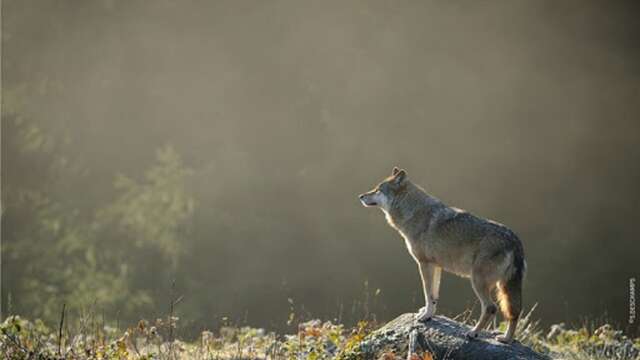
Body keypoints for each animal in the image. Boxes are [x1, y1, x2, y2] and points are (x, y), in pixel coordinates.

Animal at [358, 167, 528, 342]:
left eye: (378, 190)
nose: (360, 196)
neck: (413, 212)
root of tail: (515, 241)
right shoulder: (436, 266)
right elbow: (434, 296)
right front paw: (429, 314)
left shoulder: (424, 263)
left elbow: (427, 293)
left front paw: (425, 316)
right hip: (503, 287)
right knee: (515, 313)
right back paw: (506, 339)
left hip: (478, 282)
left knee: (491, 308)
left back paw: (473, 333)